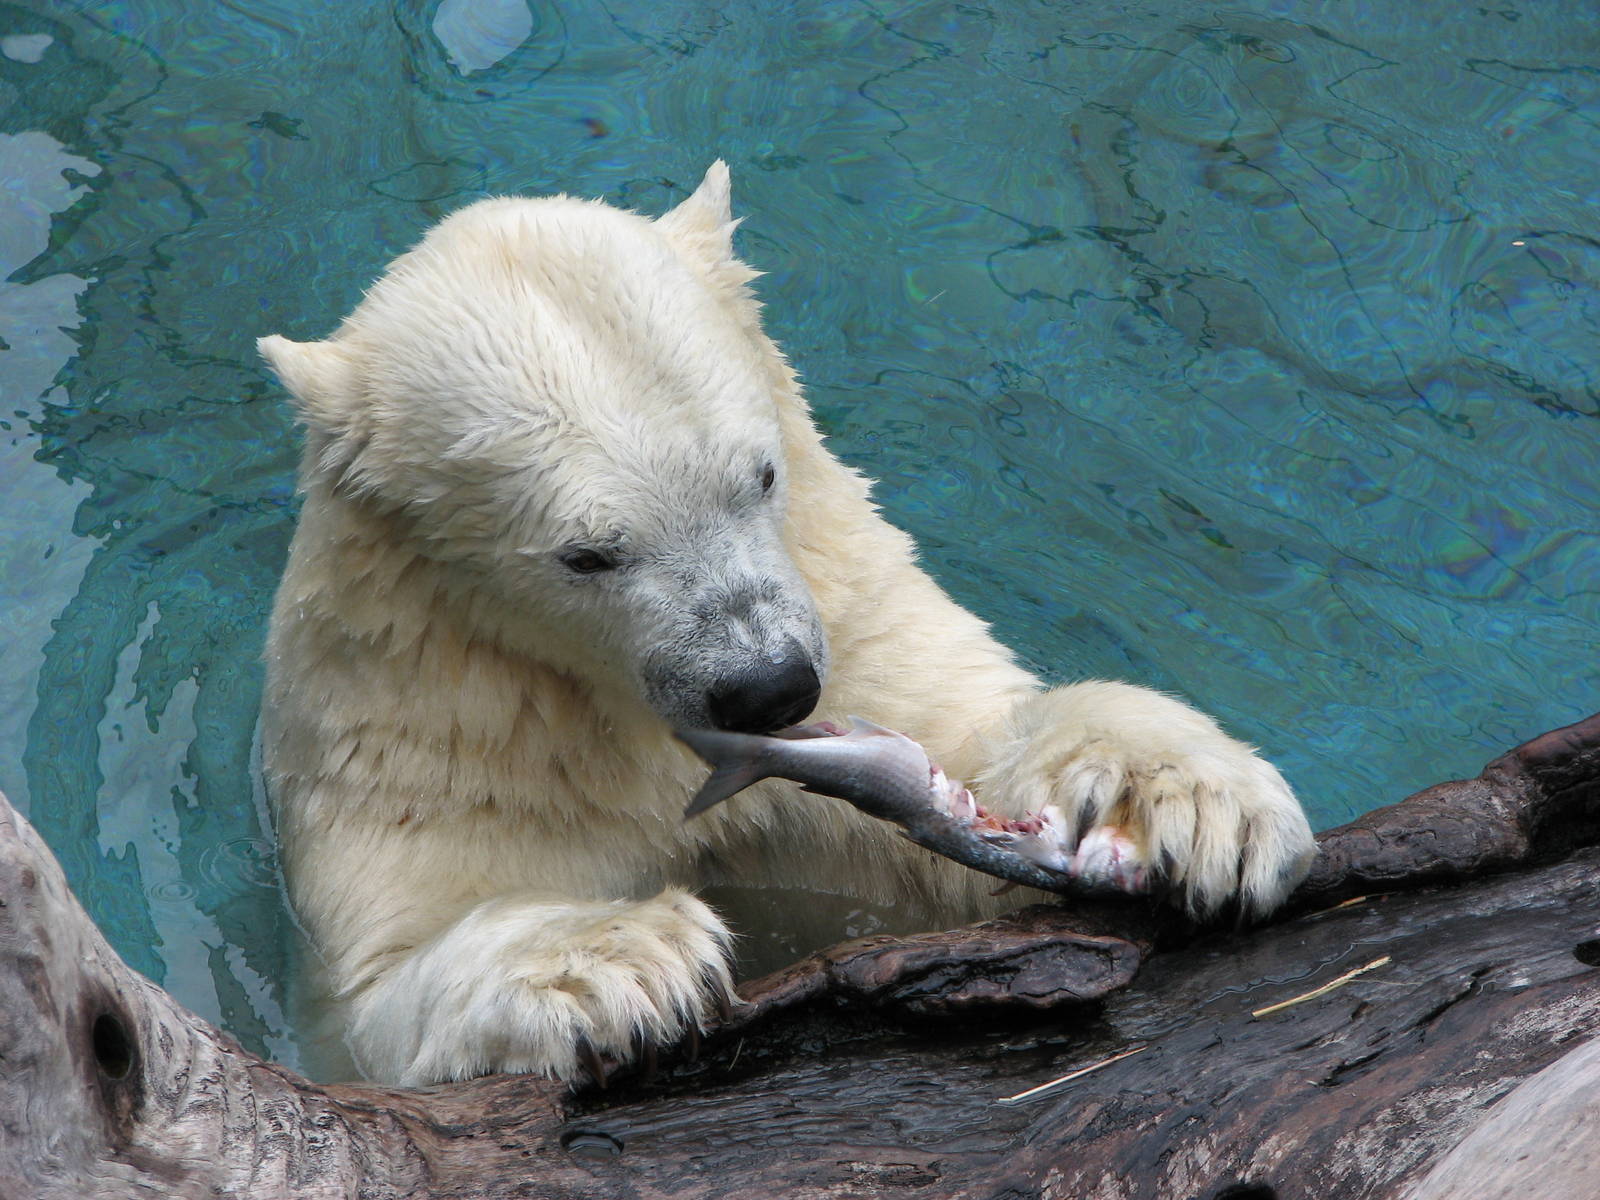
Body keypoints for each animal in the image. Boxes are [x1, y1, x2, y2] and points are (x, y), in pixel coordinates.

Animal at [257, 162, 1315, 1086]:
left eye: (759, 474)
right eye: (587, 554)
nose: (768, 688)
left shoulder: (854, 622)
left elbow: (966, 764)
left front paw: (1182, 803)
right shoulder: (427, 739)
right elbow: (381, 990)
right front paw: (619, 959)